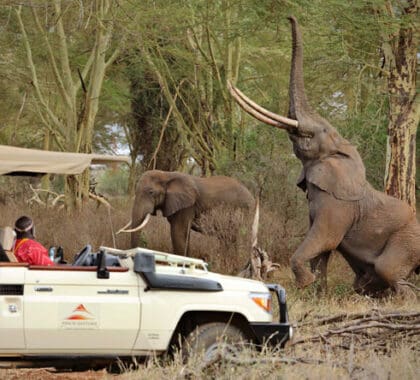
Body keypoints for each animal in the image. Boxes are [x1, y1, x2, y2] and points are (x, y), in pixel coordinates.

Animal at [118, 169, 256, 255]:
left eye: (151, 192)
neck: (166, 174)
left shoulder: (187, 206)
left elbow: (178, 233)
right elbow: (183, 235)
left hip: (244, 209)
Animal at [230, 16, 420, 296]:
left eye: (316, 133)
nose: (289, 17)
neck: (342, 152)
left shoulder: (337, 206)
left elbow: (324, 239)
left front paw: (305, 284)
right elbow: (322, 250)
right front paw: (316, 291)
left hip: (408, 238)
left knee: (387, 268)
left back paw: (403, 298)